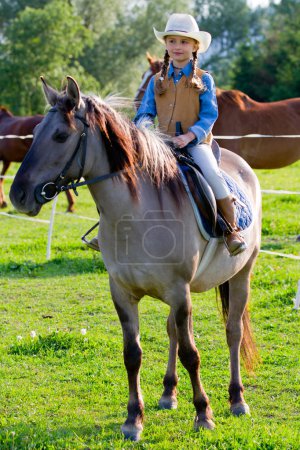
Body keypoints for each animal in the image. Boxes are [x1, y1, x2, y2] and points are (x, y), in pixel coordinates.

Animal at [10, 76, 262, 440]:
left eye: (60, 135)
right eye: (35, 131)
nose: (17, 195)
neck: (137, 214)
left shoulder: (179, 292)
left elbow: (191, 354)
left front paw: (203, 414)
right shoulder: (124, 293)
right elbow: (134, 354)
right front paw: (133, 419)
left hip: (241, 276)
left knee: (233, 332)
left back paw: (237, 399)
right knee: (174, 332)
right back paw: (168, 393)